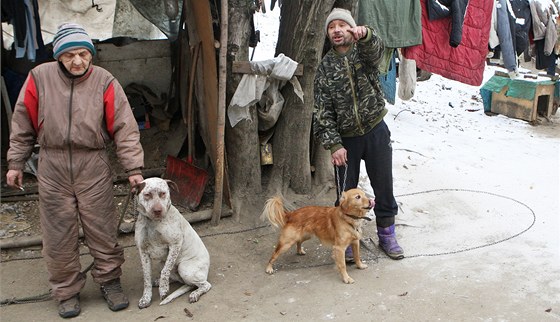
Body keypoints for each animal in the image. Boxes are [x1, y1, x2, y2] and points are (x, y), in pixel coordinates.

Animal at [135, 177, 211, 308]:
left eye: (163, 193)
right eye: (147, 195)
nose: (158, 210)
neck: (153, 223)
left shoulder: (175, 245)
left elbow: (166, 271)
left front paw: (163, 290)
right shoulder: (143, 251)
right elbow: (147, 277)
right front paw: (146, 298)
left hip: (184, 268)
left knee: (205, 284)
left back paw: (195, 294)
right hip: (163, 263)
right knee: (179, 279)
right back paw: (158, 282)